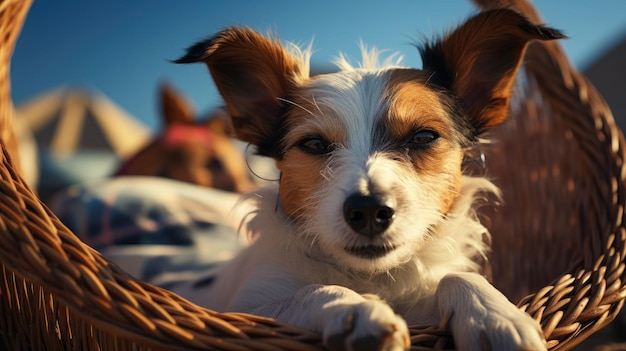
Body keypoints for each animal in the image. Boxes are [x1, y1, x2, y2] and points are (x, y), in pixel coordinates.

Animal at [169, 8, 560, 351]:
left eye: (423, 137)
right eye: (313, 144)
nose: (369, 211)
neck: (370, 276)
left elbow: (457, 276)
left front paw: (494, 316)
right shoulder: (247, 309)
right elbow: (309, 292)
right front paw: (355, 308)